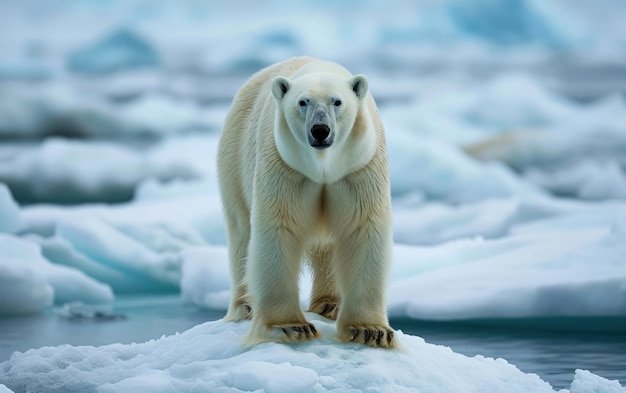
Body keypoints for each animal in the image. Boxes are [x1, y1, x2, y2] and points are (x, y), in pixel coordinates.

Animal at [217, 56, 392, 346]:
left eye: (337, 101)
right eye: (303, 102)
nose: (320, 130)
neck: (323, 166)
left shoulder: (359, 169)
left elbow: (362, 228)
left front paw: (371, 331)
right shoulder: (284, 166)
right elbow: (279, 228)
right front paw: (290, 327)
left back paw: (330, 304)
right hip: (234, 159)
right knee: (241, 231)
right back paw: (246, 305)